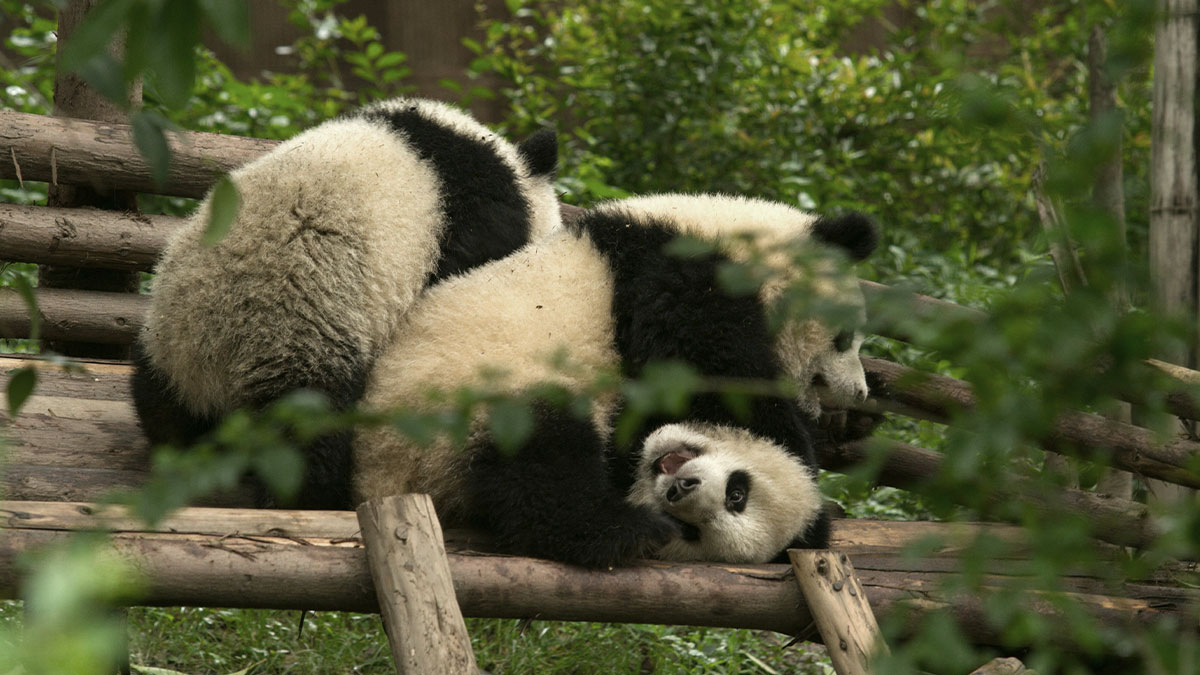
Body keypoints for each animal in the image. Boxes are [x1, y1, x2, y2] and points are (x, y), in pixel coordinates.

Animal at [131, 97, 560, 509]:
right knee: (310, 429)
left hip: (164, 337)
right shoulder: (476, 220)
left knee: (160, 406)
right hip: (295, 331)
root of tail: (205, 366)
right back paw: (306, 497)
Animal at [354, 193, 878, 567]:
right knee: (540, 458)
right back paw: (619, 530)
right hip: (461, 403)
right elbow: (707, 372)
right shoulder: (678, 277)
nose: (859, 392)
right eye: (843, 337)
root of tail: (379, 478)